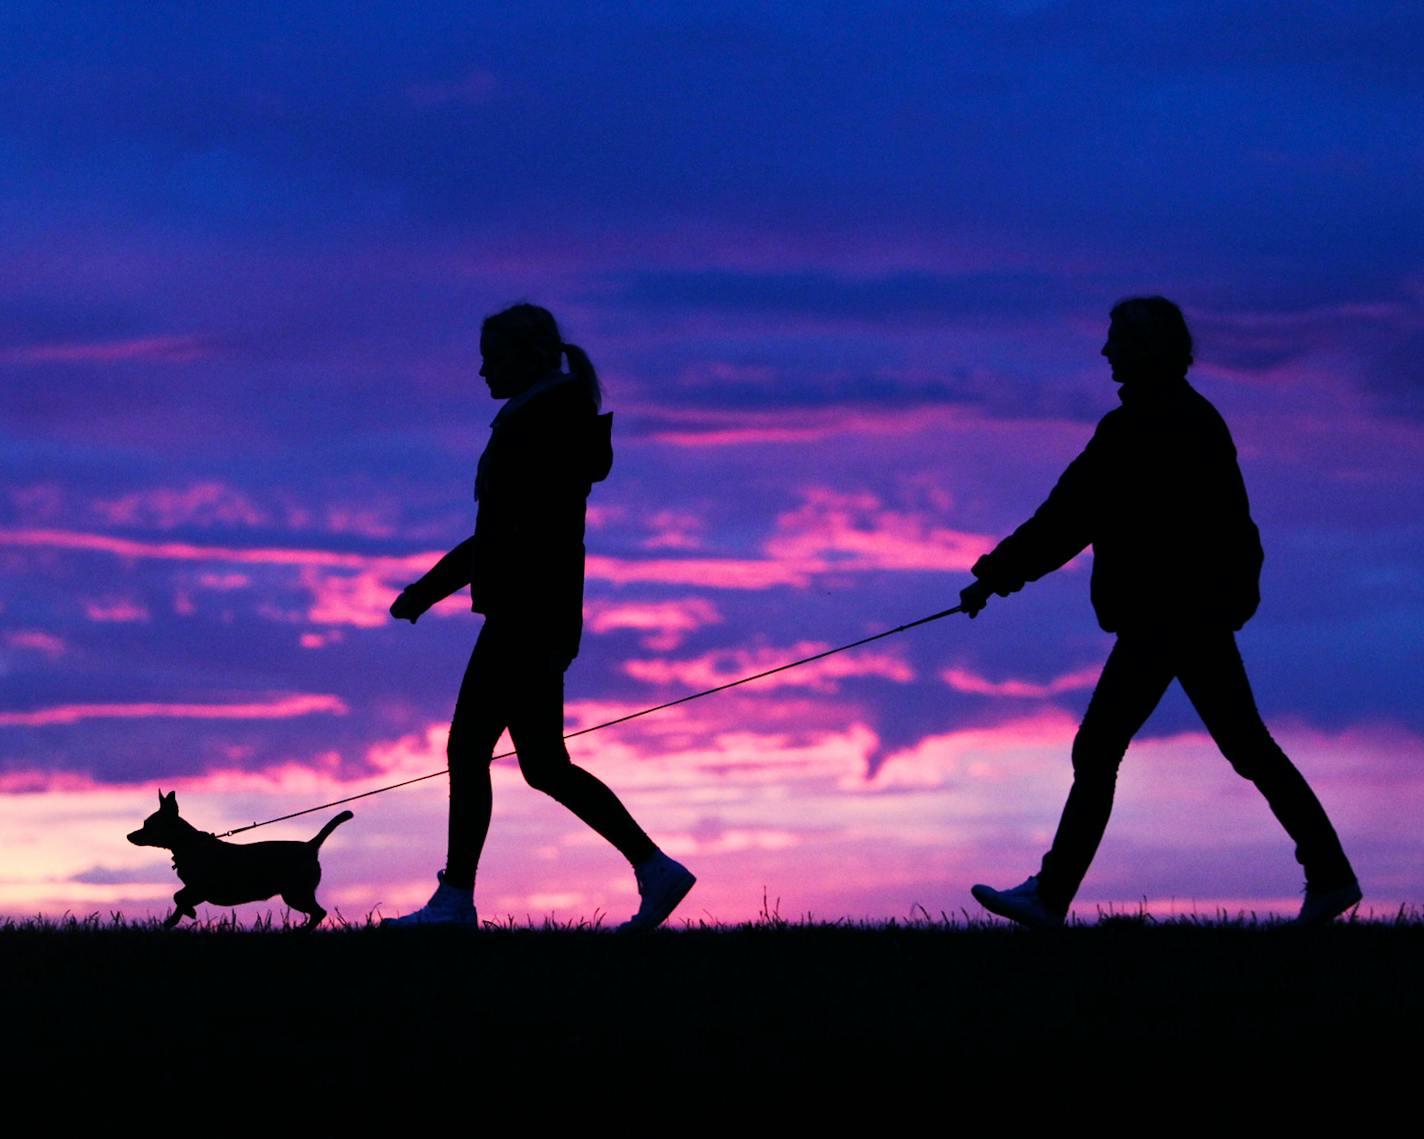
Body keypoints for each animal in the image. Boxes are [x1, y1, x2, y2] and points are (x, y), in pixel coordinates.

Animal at [128, 785, 353, 928]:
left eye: (148, 825)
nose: (129, 835)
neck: (191, 846)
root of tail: (310, 845)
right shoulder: (197, 891)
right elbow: (178, 901)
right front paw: (172, 921)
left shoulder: (201, 889)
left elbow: (178, 897)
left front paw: (189, 912)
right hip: (298, 892)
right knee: (318, 913)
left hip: (295, 893)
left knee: (319, 913)